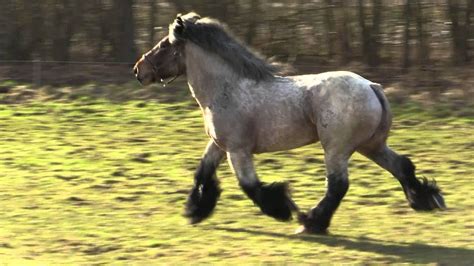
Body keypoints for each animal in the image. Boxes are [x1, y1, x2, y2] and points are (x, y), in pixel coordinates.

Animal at [132, 12, 444, 234]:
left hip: (337, 149)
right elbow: (202, 174)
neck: (225, 89)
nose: (138, 70)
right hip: (371, 145)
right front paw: (195, 211)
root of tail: (371, 86)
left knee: (338, 185)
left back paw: (310, 221)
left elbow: (250, 185)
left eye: (164, 45)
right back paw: (427, 200)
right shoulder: (219, 145)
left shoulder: (237, 150)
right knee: (402, 166)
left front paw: (282, 208)